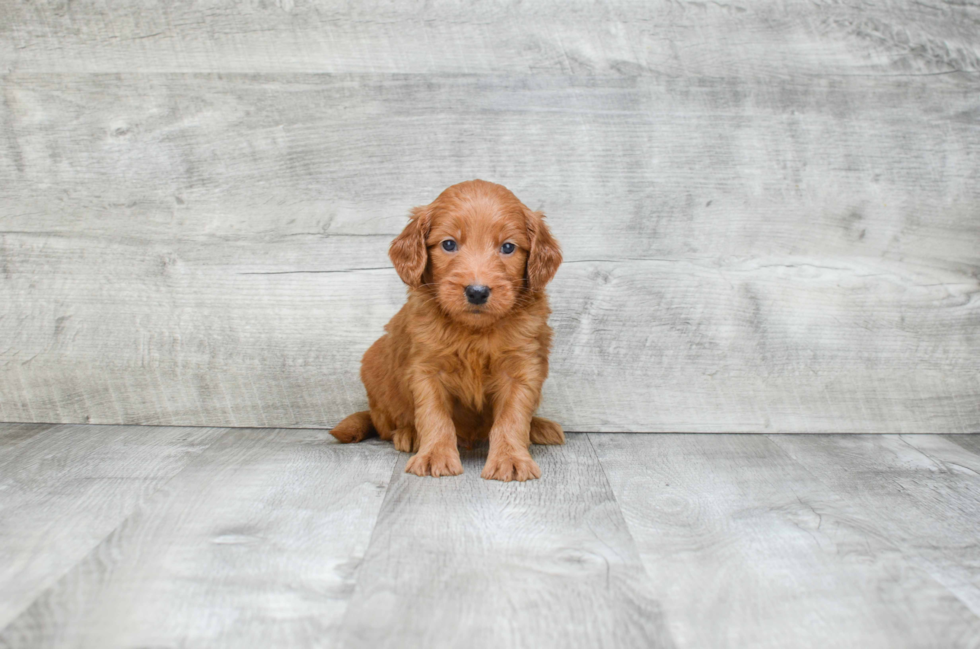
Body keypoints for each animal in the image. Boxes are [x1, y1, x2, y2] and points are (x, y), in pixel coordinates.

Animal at [330, 180, 564, 478]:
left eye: (508, 247)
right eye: (449, 244)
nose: (477, 292)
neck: (474, 331)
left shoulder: (521, 369)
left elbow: (512, 418)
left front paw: (511, 458)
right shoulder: (427, 370)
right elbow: (434, 416)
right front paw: (435, 456)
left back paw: (540, 427)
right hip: (374, 368)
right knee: (386, 424)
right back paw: (408, 433)